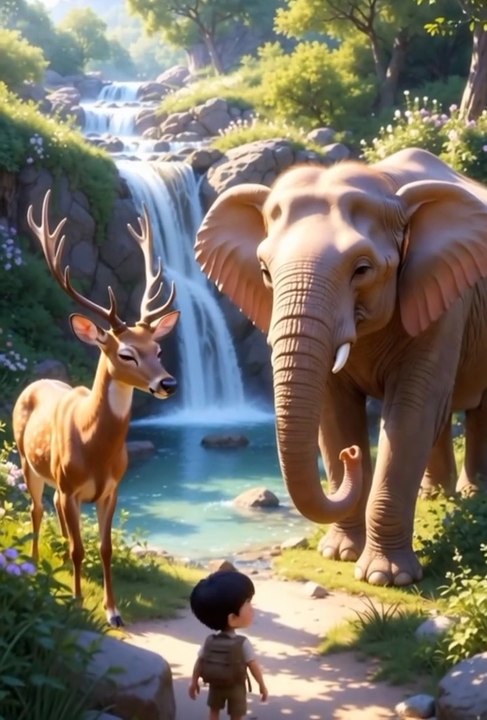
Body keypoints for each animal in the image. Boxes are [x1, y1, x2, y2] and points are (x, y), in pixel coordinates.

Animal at [12, 190, 180, 627]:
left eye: (158, 350)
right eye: (126, 353)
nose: (168, 383)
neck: (95, 447)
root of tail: (34, 383)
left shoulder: (112, 490)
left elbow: (103, 549)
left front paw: (113, 610)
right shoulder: (70, 486)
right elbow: (77, 548)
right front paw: (74, 601)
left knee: (52, 513)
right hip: (27, 461)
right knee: (37, 511)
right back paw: (32, 566)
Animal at [194, 147, 487, 587]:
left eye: (362, 269)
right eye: (264, 271)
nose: (353, 456)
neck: (388, 188)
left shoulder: (445, 298)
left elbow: (411, 411)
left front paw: (386, 577)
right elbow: (334, 414)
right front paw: (340, 554)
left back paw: (472, 499)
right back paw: (436, 497)